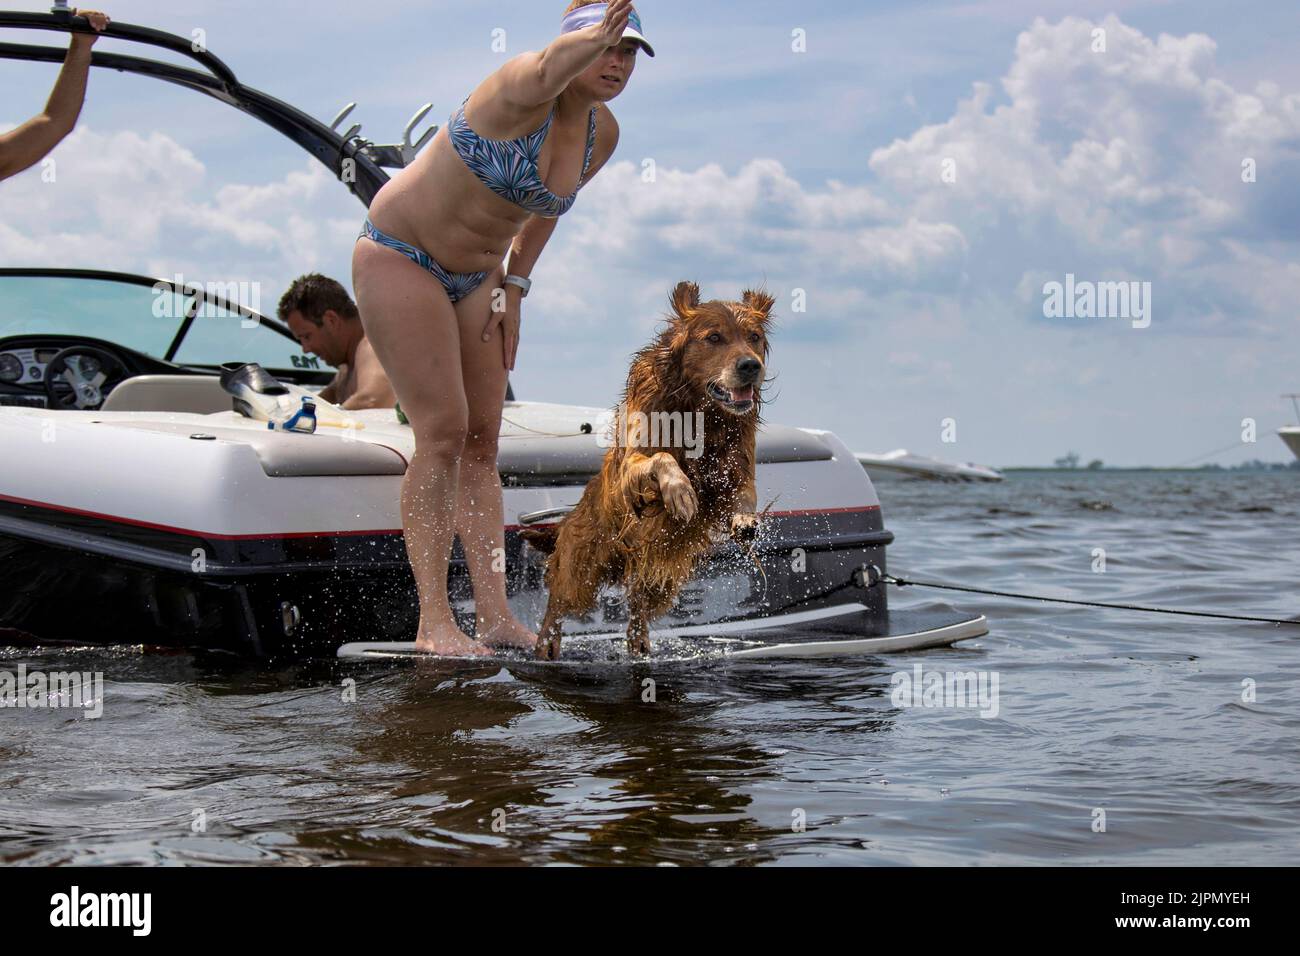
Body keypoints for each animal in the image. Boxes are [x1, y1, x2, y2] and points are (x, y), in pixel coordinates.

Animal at [517, 280, 769, 660]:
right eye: (714, 337)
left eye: (754, 336)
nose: (751, 366)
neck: (700, 413)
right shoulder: (634, 463)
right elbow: (662, 457)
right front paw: (680, 492)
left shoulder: (736, 466)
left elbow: (745, 492)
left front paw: (744, 520)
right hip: (582, 565)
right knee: (559, 600)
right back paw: (546, 643)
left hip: (658, 571)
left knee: (638, 600)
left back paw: (639, 643)